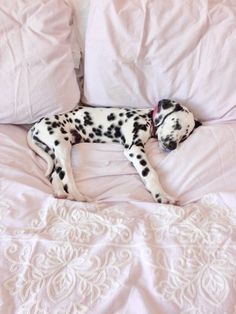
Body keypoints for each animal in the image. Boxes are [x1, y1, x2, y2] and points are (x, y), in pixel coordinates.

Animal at [27, 99, 201, 205]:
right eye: (176, 123)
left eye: (185, 136)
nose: (172, 146)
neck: (147, 118)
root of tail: (36, 125)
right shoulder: (134, 148)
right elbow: (150, 173)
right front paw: (162, 196)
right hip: (62, 145)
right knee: (66, 176)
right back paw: (79, 197)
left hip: (58, 150)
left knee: (56, 175)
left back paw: (60, 194)